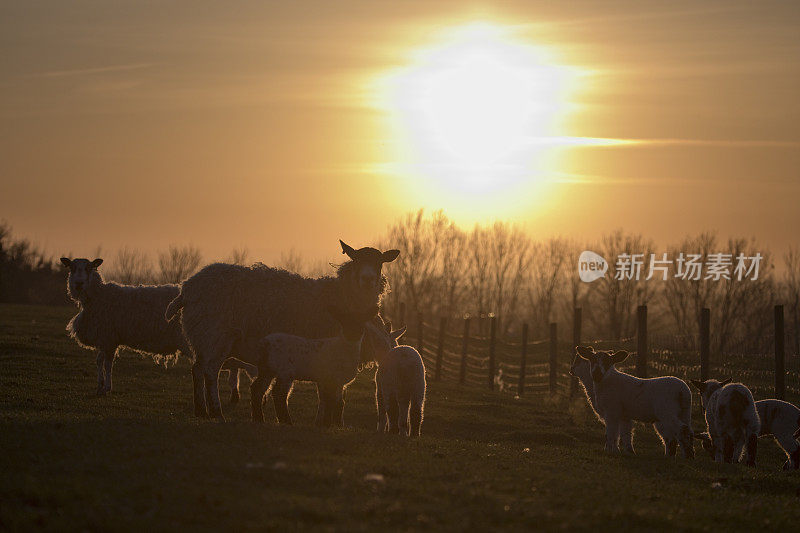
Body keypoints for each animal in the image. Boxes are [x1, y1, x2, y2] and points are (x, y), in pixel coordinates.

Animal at [61, 256, 255, 396]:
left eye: (88, 268)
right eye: (72, 268)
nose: (78, 283)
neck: (98, 296)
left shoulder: (109, 337)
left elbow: (106, 363)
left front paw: (106, 387)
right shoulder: (107, 339)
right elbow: (100, 361)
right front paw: (101, 386)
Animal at [250, 306, 378, 426]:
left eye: (361, 322)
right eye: (343, 321)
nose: (352, 334)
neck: (343, 347)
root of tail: (263, 344)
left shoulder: (338, 382)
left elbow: (339, 402)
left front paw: (337, 424)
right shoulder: (330, 378)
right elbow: (330, 401)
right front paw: (327, 424)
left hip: (267, 369)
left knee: (257, 388)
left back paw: (259, 419)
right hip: (284, 370)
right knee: (278, 394)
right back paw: (287, 422)